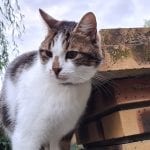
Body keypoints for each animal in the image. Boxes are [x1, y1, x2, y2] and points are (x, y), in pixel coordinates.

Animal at [0, 8, 102, 150]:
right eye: (48, 53)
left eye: (72, 54)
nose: (55, 69)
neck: (63, 89)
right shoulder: (25, 137)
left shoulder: (62, 136)